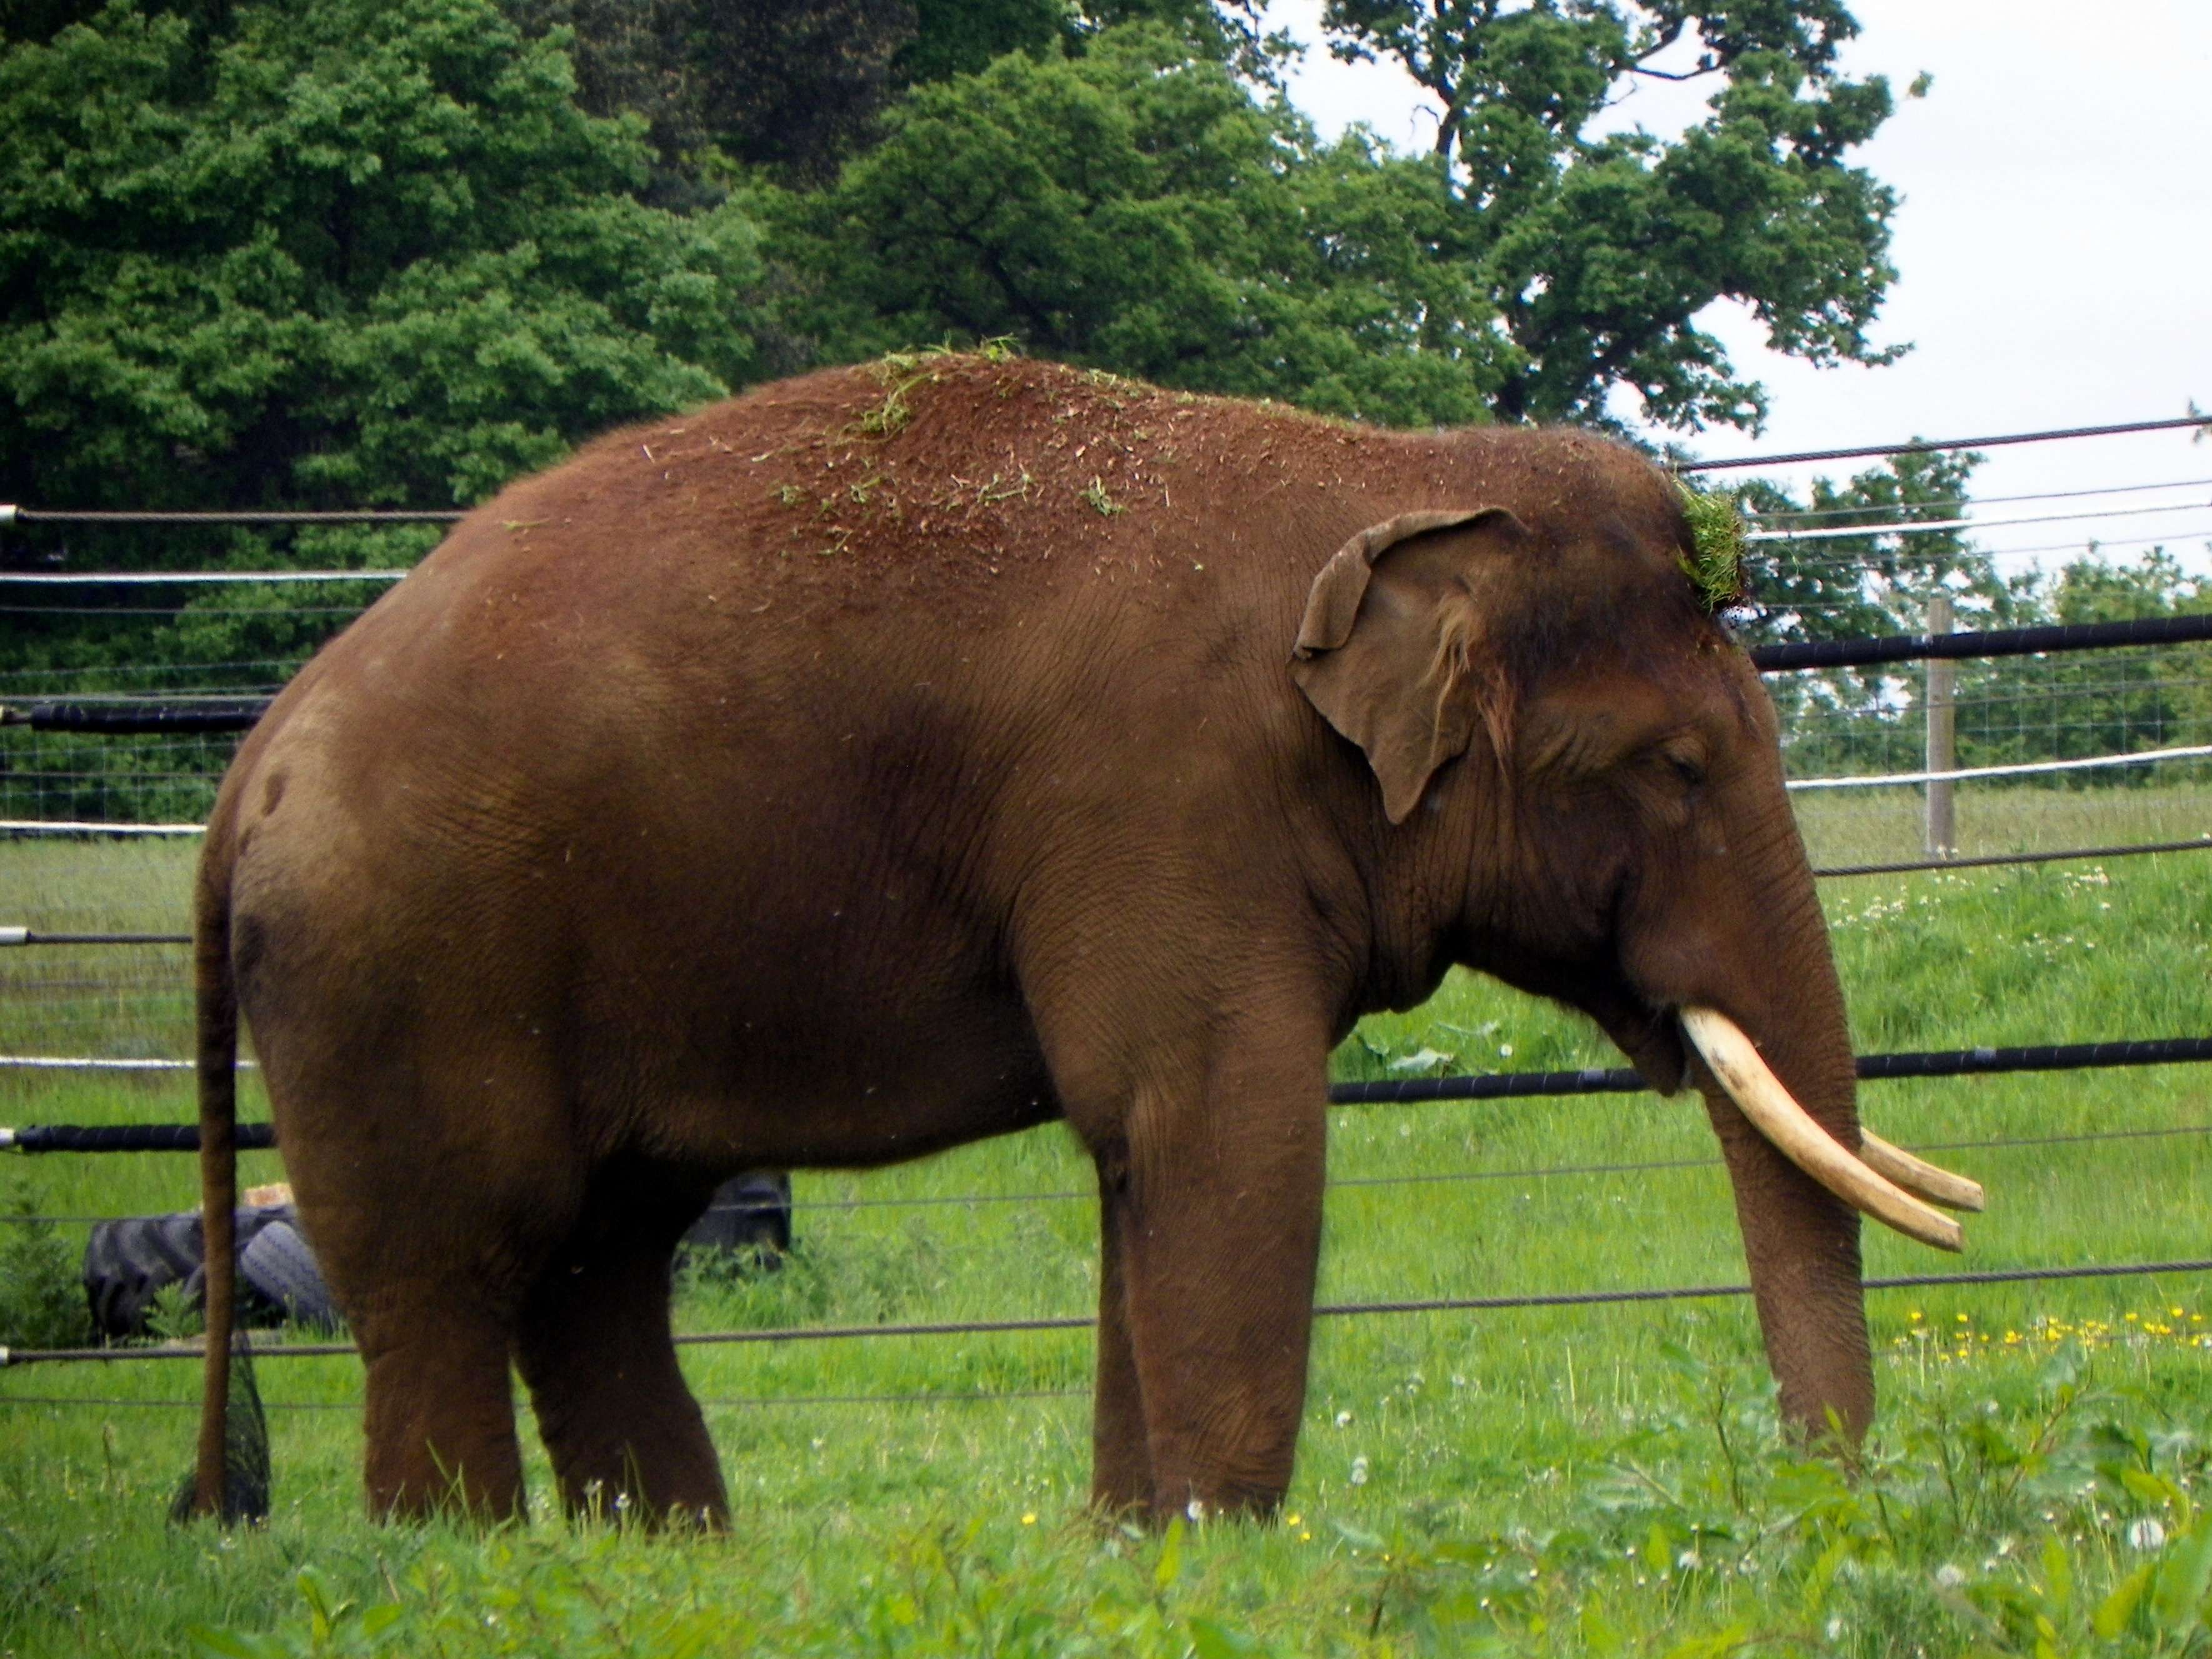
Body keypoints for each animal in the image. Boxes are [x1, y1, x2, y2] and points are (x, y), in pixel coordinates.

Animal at [185, 352, 1980, 1527]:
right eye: (1674, 767)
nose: (1818, 1502)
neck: (1391, 475)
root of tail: (250, 759)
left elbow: (1143, 1155)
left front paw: (1134, 1554)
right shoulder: (1161, 791)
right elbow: (1214, 1122)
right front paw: (1227, 1557)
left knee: (597, 1262)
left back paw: (668, 1570)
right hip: (400, 968)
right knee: (452, 1266)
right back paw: (468, 1566)